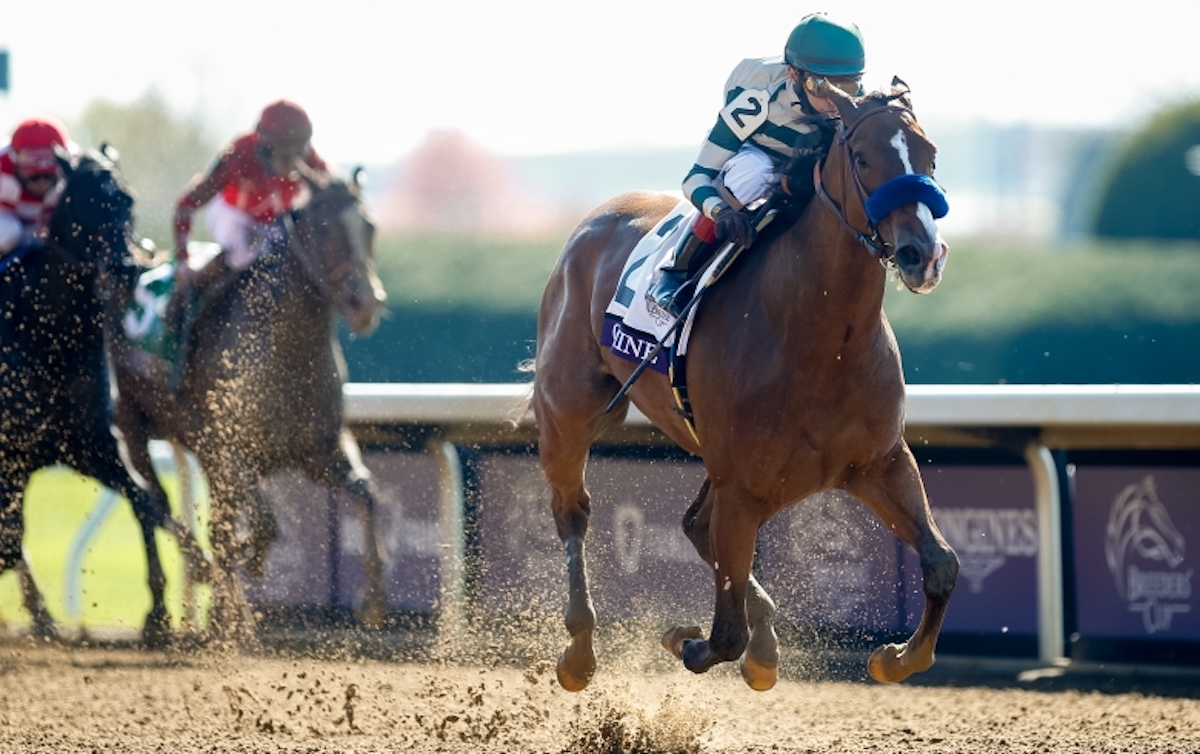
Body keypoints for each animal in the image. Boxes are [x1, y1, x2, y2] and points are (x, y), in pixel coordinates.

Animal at [0, 147, 199, 643]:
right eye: (84, 200)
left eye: (127, 200)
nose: (126, 267)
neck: (49, 343)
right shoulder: (11, 454)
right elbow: (10, 538)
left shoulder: (92, 447)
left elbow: (145, 502)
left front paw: (159, 613)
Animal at [111, 169, 386, 633]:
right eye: (325, 228)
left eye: (369, 227)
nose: (366, 303)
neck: (286, 350)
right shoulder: (231, 452)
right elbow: (264, 526)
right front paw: (239, 568)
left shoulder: (320, 451)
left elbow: (367, 494)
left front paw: (372, 600)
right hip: (134, 421)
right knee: (152, 502)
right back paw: (169, 607)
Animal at [532, 79, 955, 691]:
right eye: (861, 157)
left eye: (930, 156)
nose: (922, 254)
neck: (821, 340)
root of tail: (595, 219)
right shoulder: (742, 486)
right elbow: (723, 634)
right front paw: (685, 638)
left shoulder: (879, 462)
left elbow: (942, 563)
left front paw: (895, 657)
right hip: (569, 413)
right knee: (574, 511)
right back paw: (579, 651)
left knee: (694, 526)